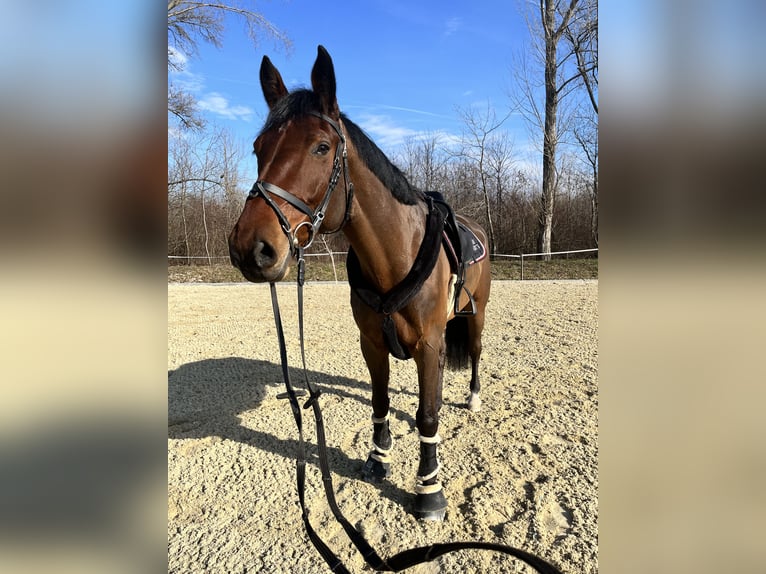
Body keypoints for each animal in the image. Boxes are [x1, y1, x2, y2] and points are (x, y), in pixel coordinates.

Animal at [228, 45, 492, 521]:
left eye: (321, 147)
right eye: (259, 148)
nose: (250, 247)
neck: (394, 255)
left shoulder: (431, 343)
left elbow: (427, 415)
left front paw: (429, 490)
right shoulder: (371, 342)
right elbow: (380, 400)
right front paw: (377, 459)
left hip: (475, 313)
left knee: (477, 353)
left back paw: (474, 398)